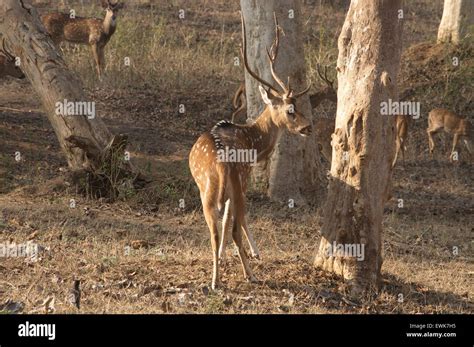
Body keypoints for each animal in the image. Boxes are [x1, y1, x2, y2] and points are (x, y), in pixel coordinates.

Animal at [189, 13, 312, 290]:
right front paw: (255, 253)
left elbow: (224, 222)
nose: (308, 127)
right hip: (237, 180)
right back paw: (250, 273)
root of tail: (222, 163)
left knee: (213, 230)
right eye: (291, 110)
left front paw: (224, 256)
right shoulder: (243, 182)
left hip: (206, 190)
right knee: (235, 225)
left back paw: (215, 280)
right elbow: (237, 220)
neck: (251, 141)